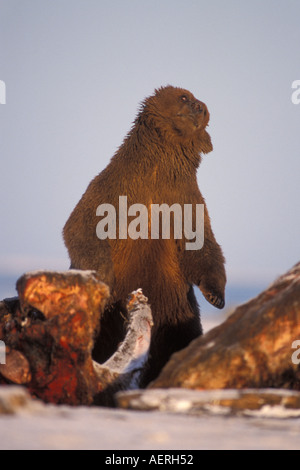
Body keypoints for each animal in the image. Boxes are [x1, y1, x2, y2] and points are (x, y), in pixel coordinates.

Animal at [64, 85, 226, 386]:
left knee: (179, 334)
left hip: (173, 301)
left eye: (204, 108)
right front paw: (102, 274)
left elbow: (202, 243)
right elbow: (82, 224)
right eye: (184, 96)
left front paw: (216, 295)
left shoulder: (184, 199)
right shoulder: (118, 186)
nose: (201, 108)